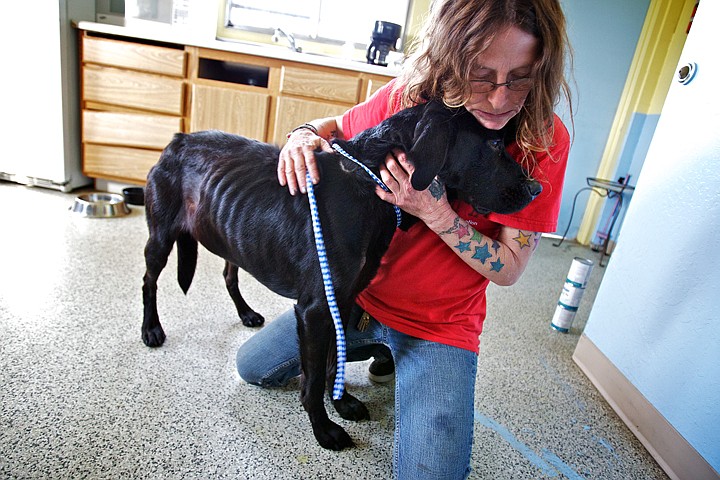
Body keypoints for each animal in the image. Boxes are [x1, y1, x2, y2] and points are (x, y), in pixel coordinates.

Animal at [142, 99, 540, 452]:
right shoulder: (316, 308)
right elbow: (314, 378)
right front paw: (324, 429)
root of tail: (178, 138)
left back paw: (246, 313)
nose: (536, 189)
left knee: (229, 273)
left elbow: (337, 356)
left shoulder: (343, 300)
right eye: (493, 144)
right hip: (160, 237)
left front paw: (342, 402)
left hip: (230, 233)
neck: (368, 182)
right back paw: (151, 329)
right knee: (150, 281)